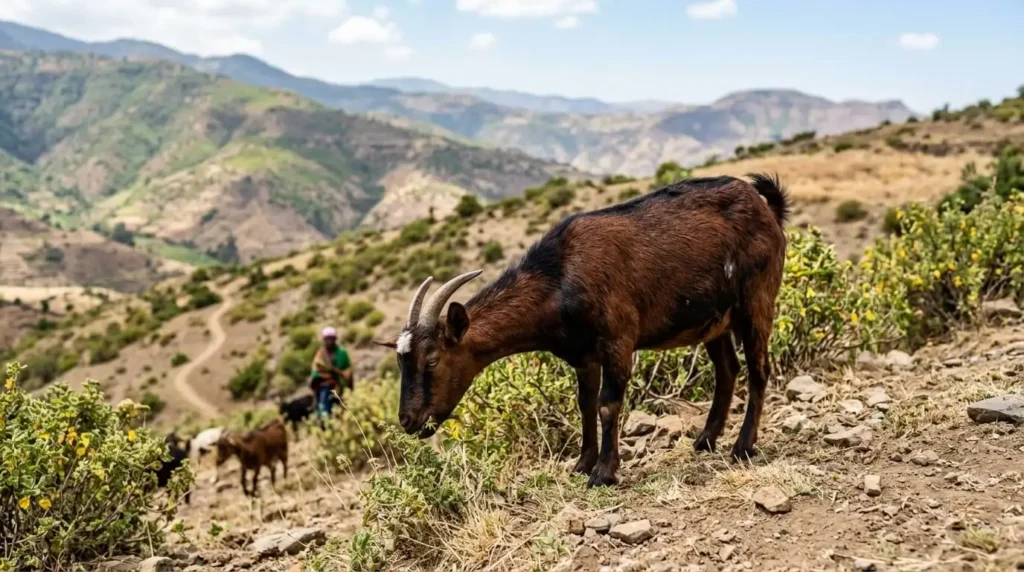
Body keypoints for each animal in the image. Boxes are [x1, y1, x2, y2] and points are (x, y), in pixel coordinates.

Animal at [378, 174, 789, 487]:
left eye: (432, 360)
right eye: (401, 363)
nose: (408, 420)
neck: (560, 276)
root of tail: (765, 205)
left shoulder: (618, 341)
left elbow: (608, 404)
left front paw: (604, 473)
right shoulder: (582, 355)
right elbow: (585, 404)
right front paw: (581, 465)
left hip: (756, 300)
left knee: (758, 369)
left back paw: (742, 447)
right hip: (714, 320)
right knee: (727, 370)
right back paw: (706, 440)